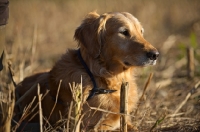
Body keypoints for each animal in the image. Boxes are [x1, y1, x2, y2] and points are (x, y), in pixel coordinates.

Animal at [14, 11, 159, 131]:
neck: (102, 78)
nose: (155, 55)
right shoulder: (91, 126)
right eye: (124, 32)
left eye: (141, 32)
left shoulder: (124, 121)